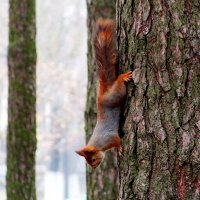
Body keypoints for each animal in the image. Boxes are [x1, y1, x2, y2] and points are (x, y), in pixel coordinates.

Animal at [76, 18, 132, 169]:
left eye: (93, 159)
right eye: (88, 161)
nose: (94, 167)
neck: (99, 145)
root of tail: (103, 94)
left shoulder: (110, 137)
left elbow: (117, 140)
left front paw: (119, 148)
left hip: (117, 94)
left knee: (119, 84)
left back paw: (123, 77)